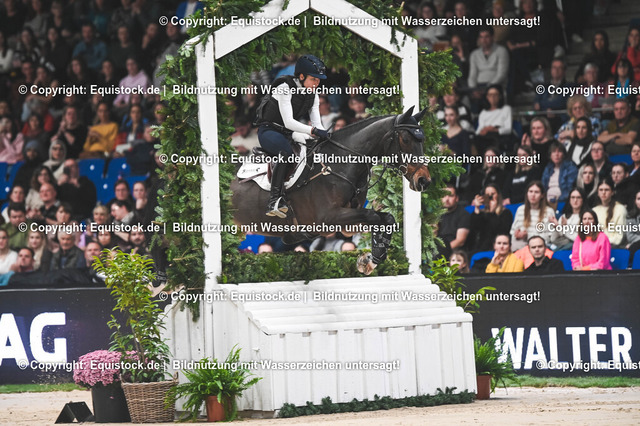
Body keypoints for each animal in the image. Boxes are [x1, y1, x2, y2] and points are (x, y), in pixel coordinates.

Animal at [231, 106, 432, 275]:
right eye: (406, 139)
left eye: (423, 140)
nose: (424, 180)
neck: (341, 164)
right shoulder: (327, 218)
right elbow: (372, 216)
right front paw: (368, 260)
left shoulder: (348, 222)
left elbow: (386, 218)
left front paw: (372, 259)